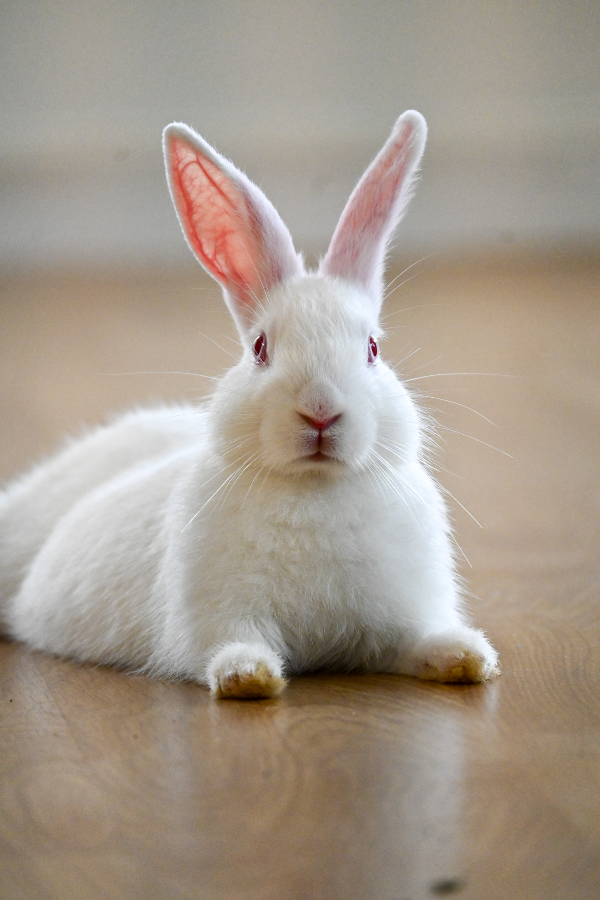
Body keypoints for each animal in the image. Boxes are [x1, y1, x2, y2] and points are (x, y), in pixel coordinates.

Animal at [0, 110, 499, 699]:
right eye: (261, 348)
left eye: (373, 349)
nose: (320, 410)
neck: (314, 490)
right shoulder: (222, 613)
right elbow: (233, 643)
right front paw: (248, 677)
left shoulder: (402, 617)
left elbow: (419, 641)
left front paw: (468, 658)